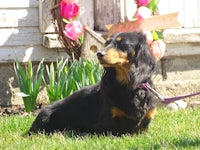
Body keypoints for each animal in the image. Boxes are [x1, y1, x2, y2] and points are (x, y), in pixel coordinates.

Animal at [28, 31, 156, 135]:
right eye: (107, 43)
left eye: (122, 44)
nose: (99, 54)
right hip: (45, 117)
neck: (127, 86)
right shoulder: (105, 124)